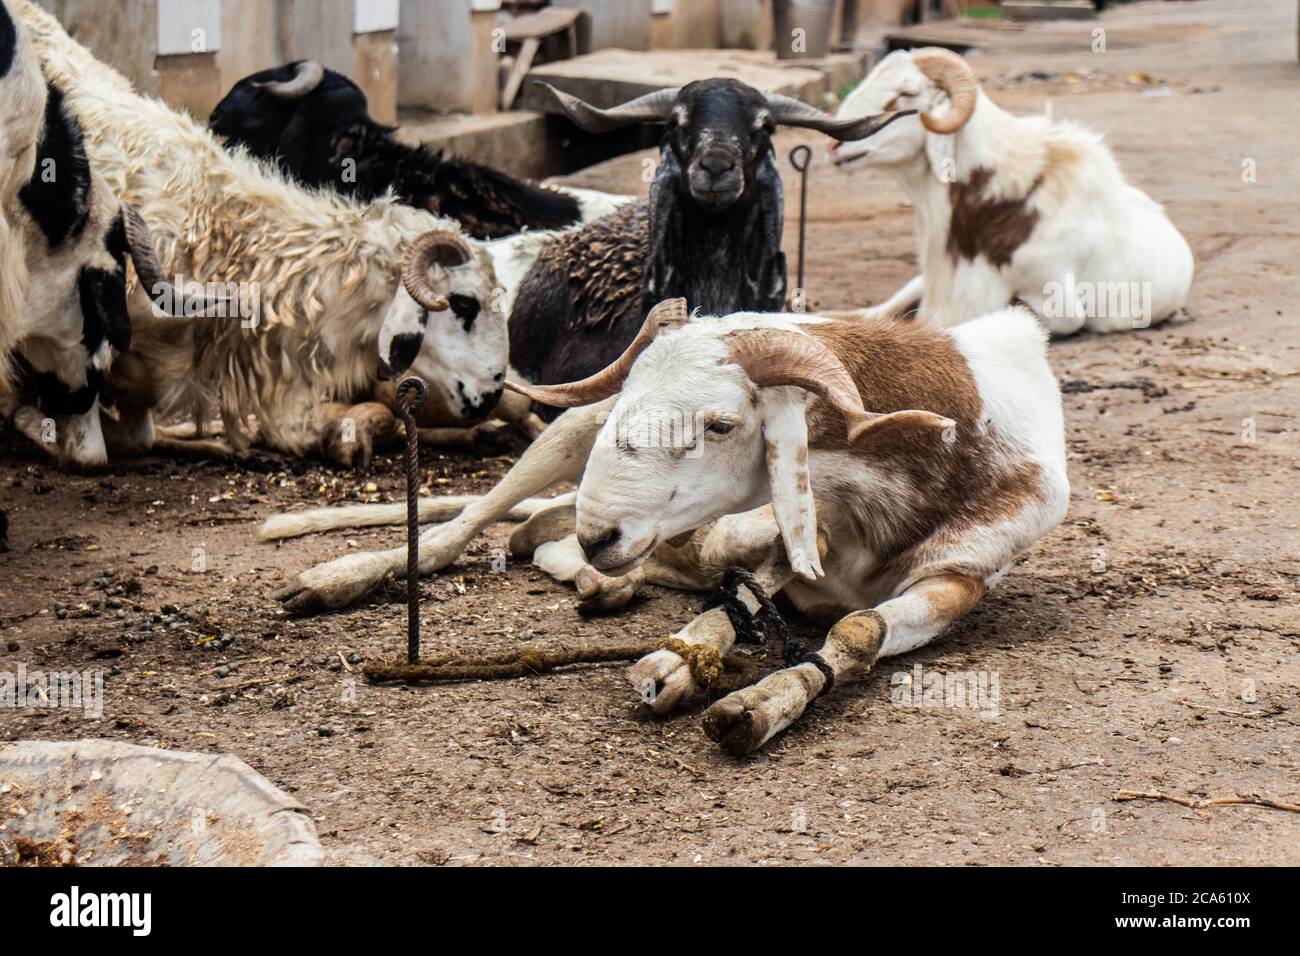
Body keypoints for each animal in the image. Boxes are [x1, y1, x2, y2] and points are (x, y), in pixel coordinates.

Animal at [261, 299, 1066, 754]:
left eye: (722, 424)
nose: (604, 534)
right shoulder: (778, 537)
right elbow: (739, 584)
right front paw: (679, 662)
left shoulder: (959, 579)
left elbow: (858, 628)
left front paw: (755, 703)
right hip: (565, 437)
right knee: (464, 528)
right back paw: (338, 578)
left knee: (533, 535)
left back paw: (594, 581)